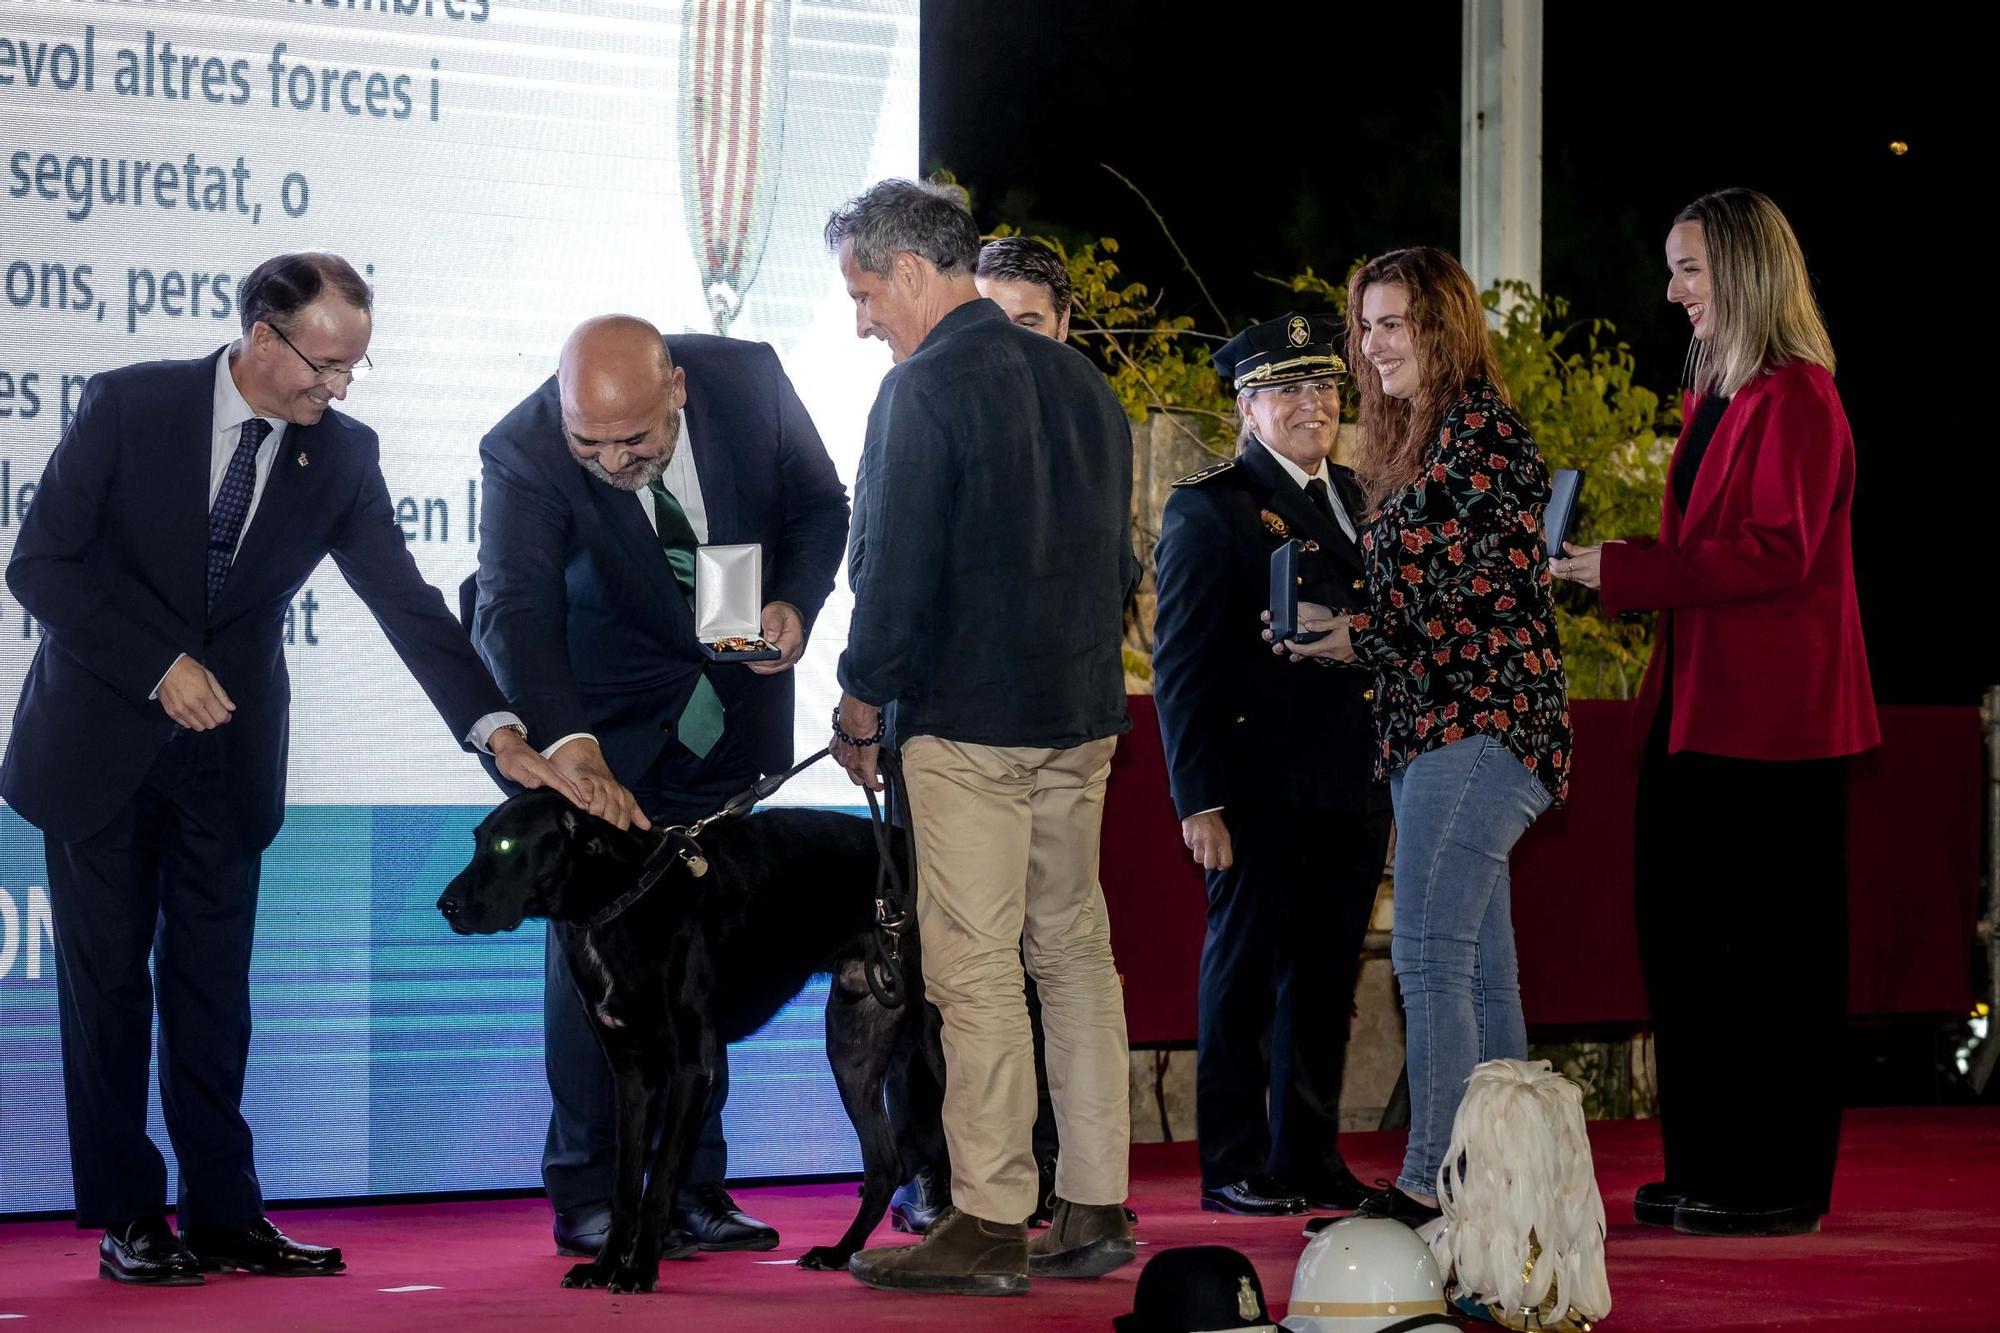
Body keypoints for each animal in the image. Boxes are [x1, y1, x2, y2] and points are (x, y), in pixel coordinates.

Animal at [436, 788, 928, 1288]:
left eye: (506, 845)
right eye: (479, 841)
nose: (445, 905)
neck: (621, 900)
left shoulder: (690, 1070)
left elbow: (659, 1182)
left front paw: (637, 1270)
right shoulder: (632, 1075)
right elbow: (626, 1183)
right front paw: (606, 1264)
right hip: (853, 1046)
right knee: (885, 1164)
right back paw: (841, 1252)